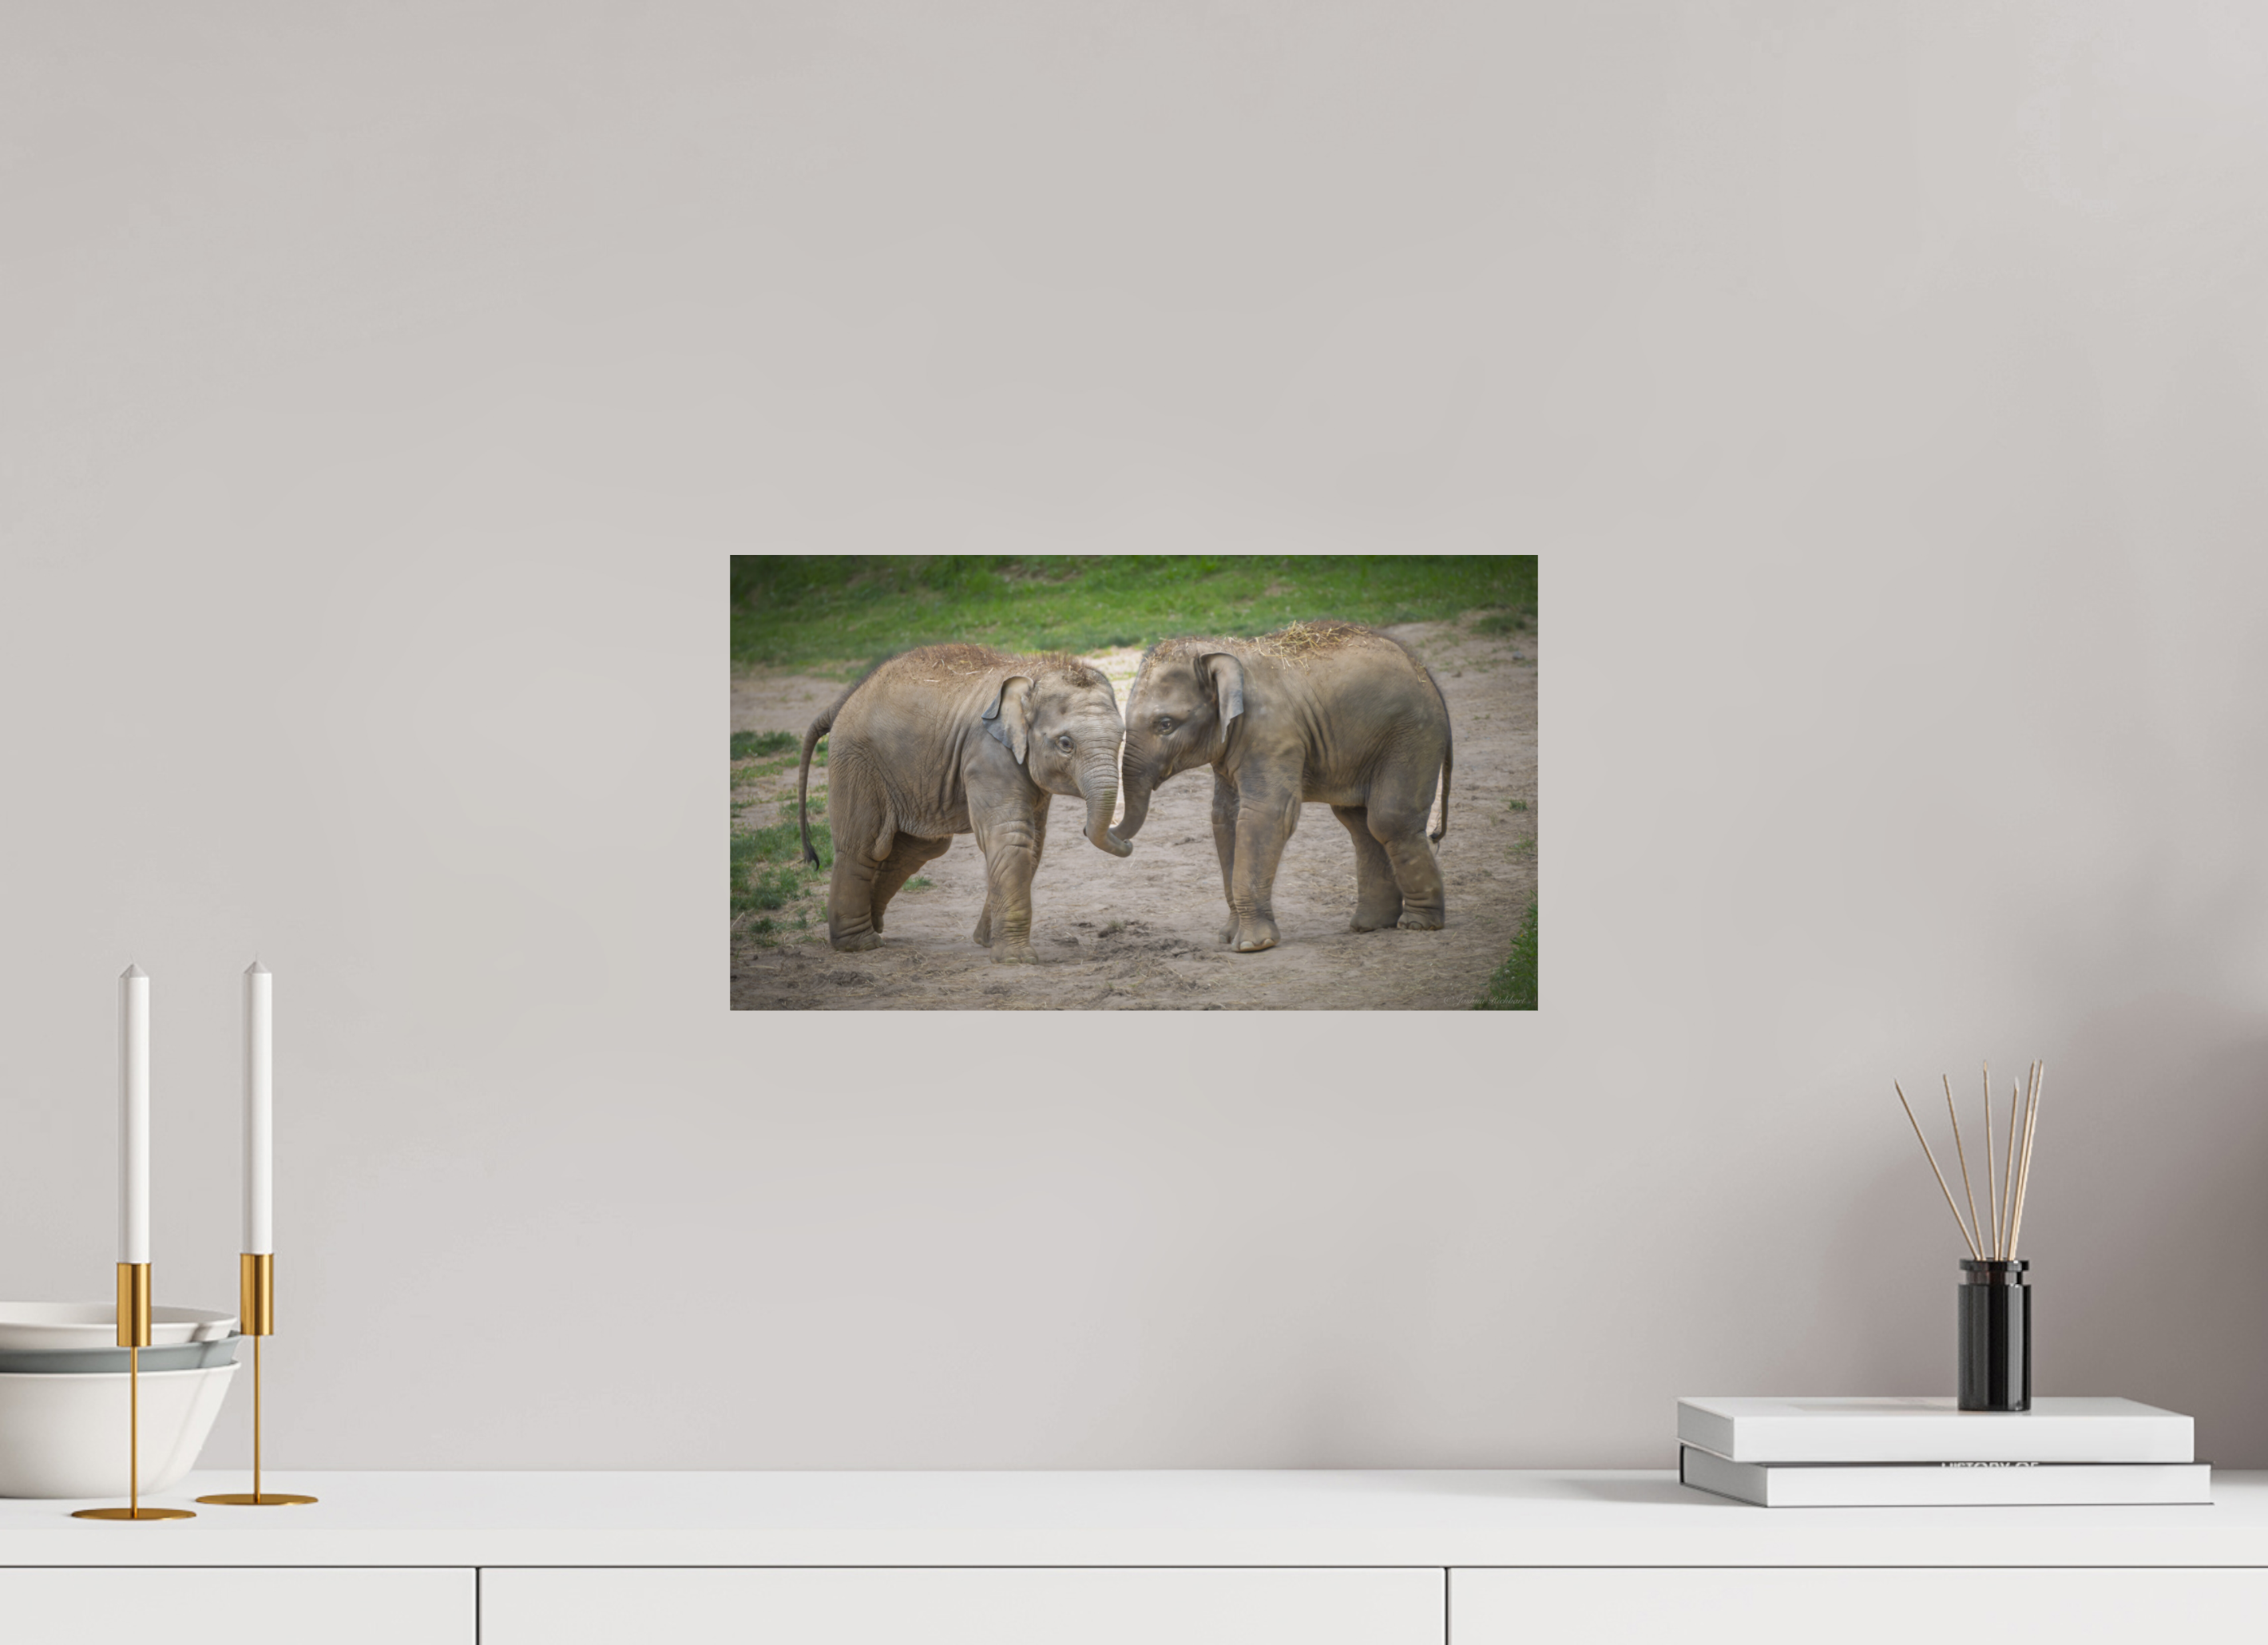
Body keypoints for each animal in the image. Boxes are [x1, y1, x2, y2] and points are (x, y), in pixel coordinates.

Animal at [796, 644, 1130, 962]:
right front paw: (1017, 959)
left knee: (918, 849)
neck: (1034, 674)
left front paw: (988, 942)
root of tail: (844, 699)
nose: (1125, 842)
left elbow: (1033, 842)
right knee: (863, 846)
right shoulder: (987, 754)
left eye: (1122, 738)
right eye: (1065, 744)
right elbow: (1010, 835)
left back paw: (874, 926)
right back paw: (860, 944)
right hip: (857, 761)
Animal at [1109, 620, 1452, 953]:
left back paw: (1418, 924)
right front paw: (1228, 937)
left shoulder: (1272, 733)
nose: (1122, 842)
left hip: (1411, 736)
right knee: (1358, 823)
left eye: (1165, 725)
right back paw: (1371, 925)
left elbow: (1267, 814)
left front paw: (1252, 945)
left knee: (1388, 820)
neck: (1224, 651)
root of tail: (1425, 671)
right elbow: (1224, 818)